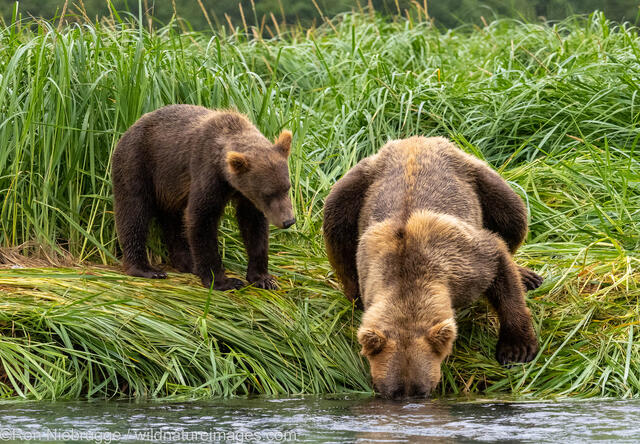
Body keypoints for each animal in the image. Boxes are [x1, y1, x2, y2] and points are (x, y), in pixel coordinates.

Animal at [112, 104, 296, 292]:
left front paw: (264, 278)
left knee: (174, 221)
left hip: (170, 188)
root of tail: (129, 129)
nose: (288, 221)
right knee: (134, 212)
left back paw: (187, 262)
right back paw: (146, 269)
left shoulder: (247, 196)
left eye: (287, 188)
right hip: (137, 164)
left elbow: (254, 226)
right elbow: (201, 219)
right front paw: (224, 281)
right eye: (268, 193)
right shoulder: (207, 173)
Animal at [322, 135, 544, 398]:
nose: (410, 399)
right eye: (392, 391)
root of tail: (414, 140)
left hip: (476, 173)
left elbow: (499, 264)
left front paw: (517, 349)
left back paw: (527, 276)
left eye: (422, 390)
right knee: (335, 223)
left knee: (512, 216)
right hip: (356, 183)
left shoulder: (463, 261)